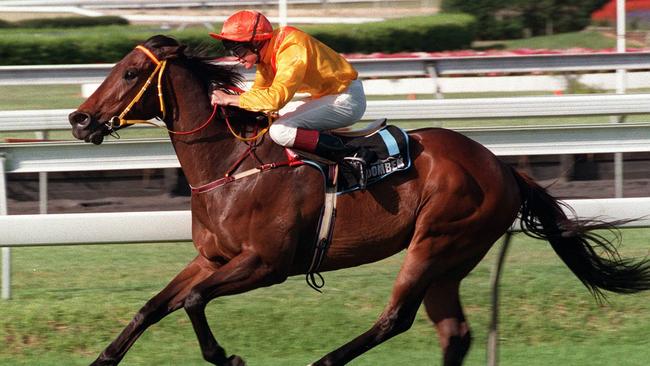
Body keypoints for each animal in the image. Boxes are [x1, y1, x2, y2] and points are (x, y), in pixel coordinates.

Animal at [67, 35, 648, 366]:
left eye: (131, 73)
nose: (79, 119)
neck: (230, 165)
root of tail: (505, 167)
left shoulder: (266, 263)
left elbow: (191, 302)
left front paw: (228, 358)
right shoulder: (213, 258)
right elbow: (153, 306)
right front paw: (103, 358)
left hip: (437, 242)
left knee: (397, 318)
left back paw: (324, 362)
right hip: (450, 262)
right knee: (453, 332)